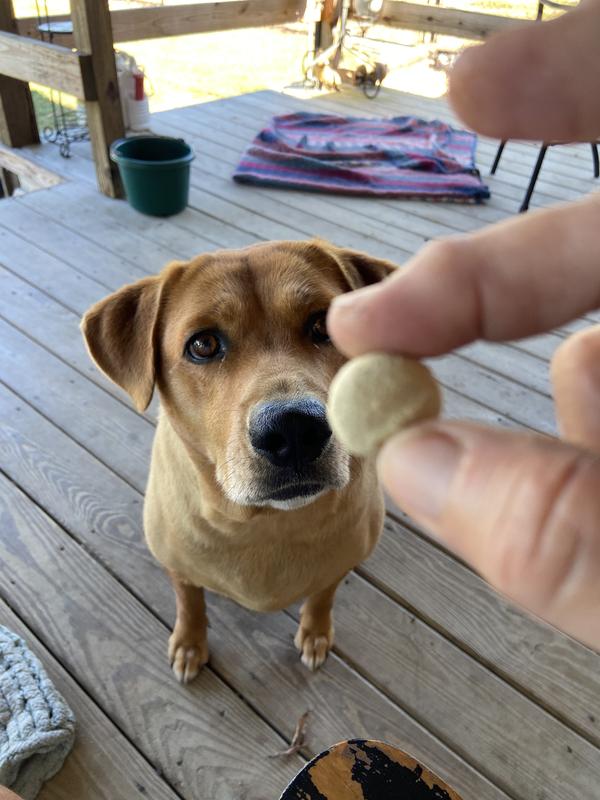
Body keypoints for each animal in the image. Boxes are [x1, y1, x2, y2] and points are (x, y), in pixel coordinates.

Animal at [81, 240, 395, 683]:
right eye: (203, 345)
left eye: (325, 325)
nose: (294, 430)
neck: (265, 523)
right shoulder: (178, 566)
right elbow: (189, 601)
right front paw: (190, 643)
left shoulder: (340, 563)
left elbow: (322, 596)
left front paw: (316, 631)